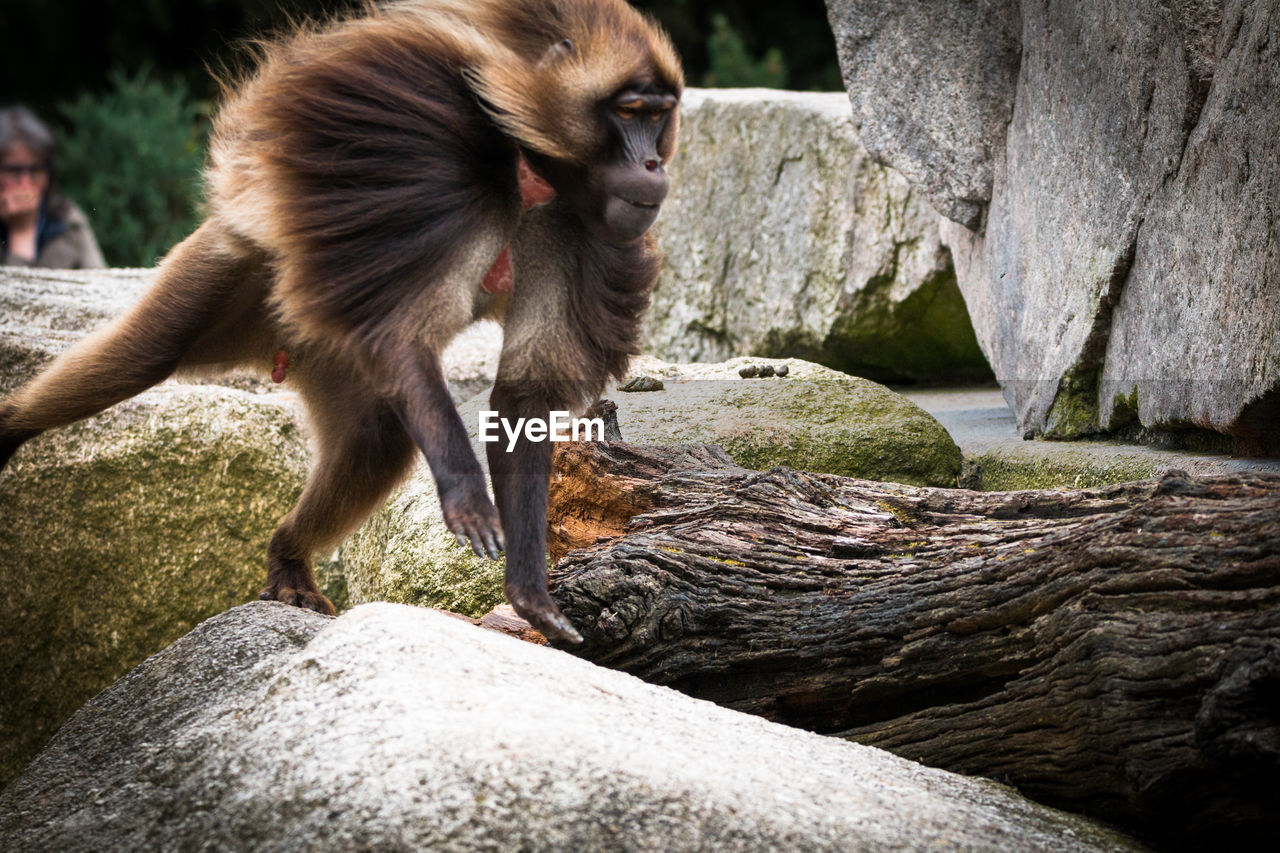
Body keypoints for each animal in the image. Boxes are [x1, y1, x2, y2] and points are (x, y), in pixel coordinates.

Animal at [0, 0, 686, 637]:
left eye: (658, 116)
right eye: (630, 112)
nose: (653, 167)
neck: (530, 165)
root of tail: (277, 348)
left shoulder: (581, 232)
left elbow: (523, 397)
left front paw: (529, 591)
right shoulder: (426, 160)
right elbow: (402, 333)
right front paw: (468, 496)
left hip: (331, 349)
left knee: (375, 438)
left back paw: (288, 560)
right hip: (238, 269)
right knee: (147, 355)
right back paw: (10, 428)